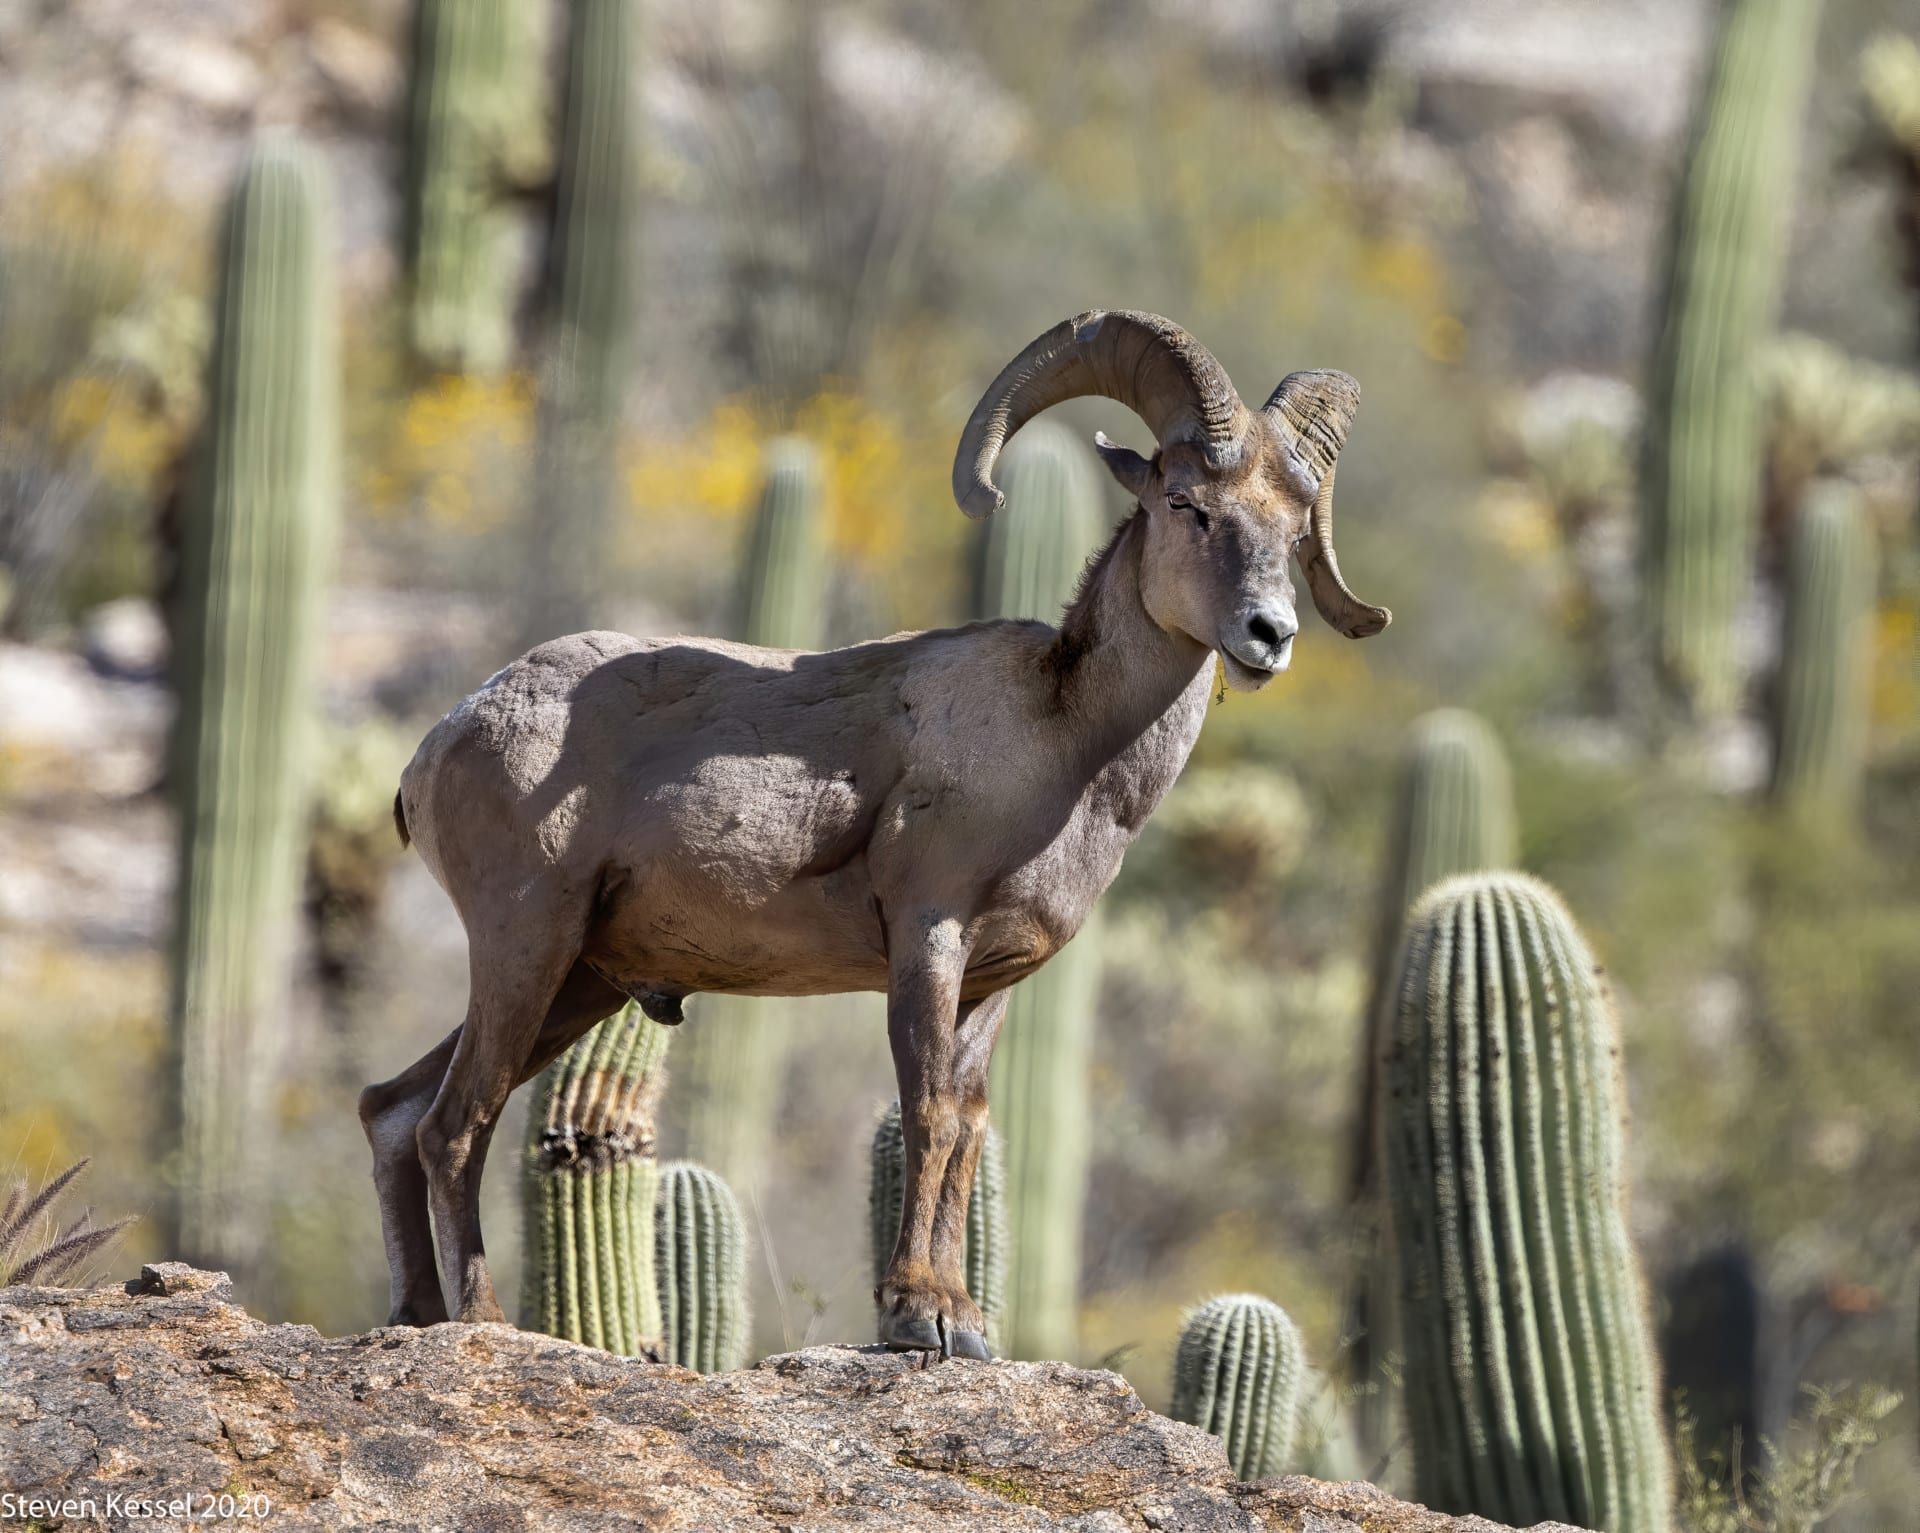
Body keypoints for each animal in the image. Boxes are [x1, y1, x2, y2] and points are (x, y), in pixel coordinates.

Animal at [359, 309, 1390, 1358]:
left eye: (1293, 529)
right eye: (1186, 503)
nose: (1268, 635)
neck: (1065, 746)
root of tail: (443, 741)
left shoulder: (992, 984)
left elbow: (968, 1125)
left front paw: (963, 1321)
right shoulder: (929, 940)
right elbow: (927, 1110)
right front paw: (916, 1314)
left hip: (580, 981)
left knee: (393, 1109)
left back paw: (418, 1313)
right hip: (526, 943)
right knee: (454, 1121)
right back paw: (482, 1323)